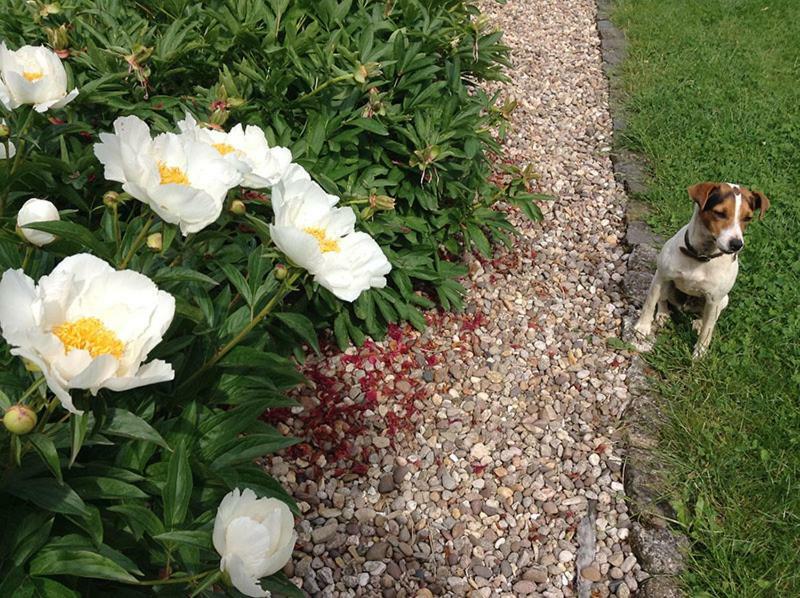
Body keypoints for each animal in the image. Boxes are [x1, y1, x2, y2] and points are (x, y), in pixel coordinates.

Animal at [636, 183, 768, 358]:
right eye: (719, 213)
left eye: (748, 218)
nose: (736, 244)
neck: (701, 257)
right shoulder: (661, 277)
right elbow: (650, 303)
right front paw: (642, 327)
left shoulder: (714, 299)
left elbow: (708, 329)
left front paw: (700, 352)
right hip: (666, 285)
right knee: (662, 299)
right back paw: (663, 314)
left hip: (723, 300)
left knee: (707, 317)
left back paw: (698, 322)